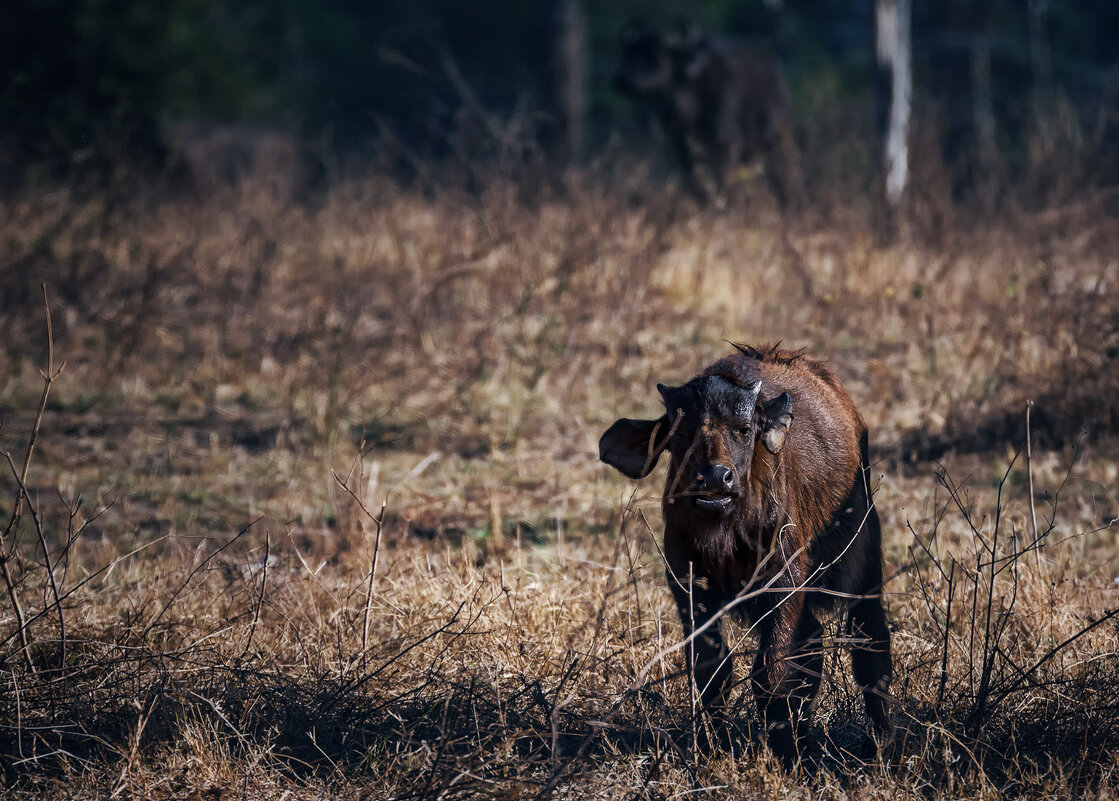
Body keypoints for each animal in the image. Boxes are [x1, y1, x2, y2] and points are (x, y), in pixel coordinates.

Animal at [604, 342, 890, 765]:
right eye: (680, 433)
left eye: (743, 429)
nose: (714, 478)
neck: (725, 532)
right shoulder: (690, 587)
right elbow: (712, 672)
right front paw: (716, 746)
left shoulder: (785, 581)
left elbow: (771, 673)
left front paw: (783, 754)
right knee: (812, 647)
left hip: (864, 565)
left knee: (870, 647)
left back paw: (883, 742)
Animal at [613, 19, 805, 208]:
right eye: (629, 55)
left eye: (656, 57)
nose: (623, 80)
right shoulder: (681, 147)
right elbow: (695, 180)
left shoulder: (725, 144)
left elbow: (726, 178)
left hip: (777, 141)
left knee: (785, 173)